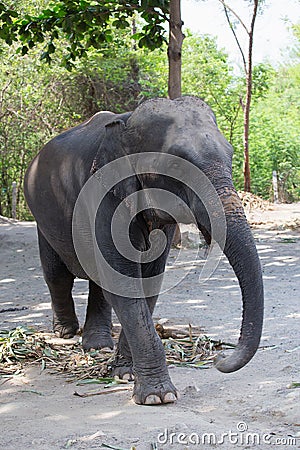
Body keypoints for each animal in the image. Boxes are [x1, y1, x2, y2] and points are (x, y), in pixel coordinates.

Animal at [24, 96, 264, 406]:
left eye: (231, 156)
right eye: (176, 168)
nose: (219, 359)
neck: (126, 124)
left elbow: (146, 279)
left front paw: (126, 375)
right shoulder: (103, 195)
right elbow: (123, 280)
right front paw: (158, 396)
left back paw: (98, 346)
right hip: (42, 217)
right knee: (57, 274)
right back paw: (65, 332)